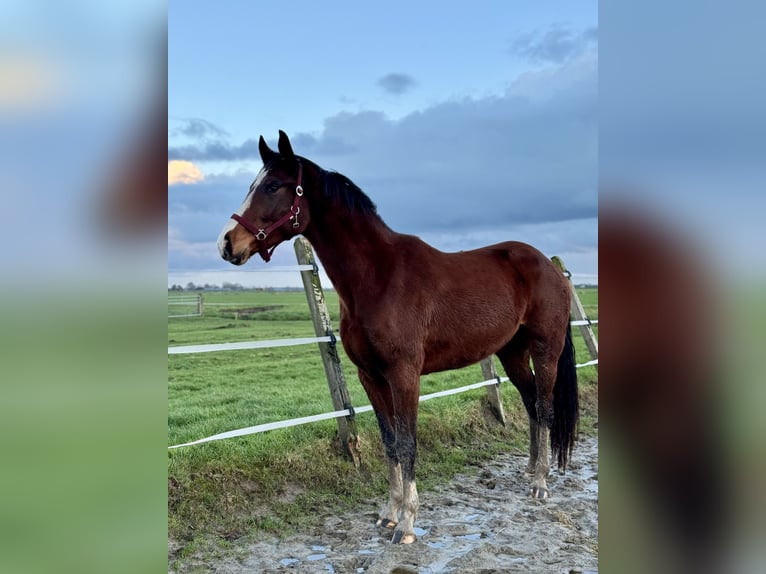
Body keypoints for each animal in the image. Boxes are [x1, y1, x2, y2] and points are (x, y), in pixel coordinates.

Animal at [219, 132, 580, 548]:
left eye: (273, 186)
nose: (228, 244)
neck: (378, 277)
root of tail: (548, 266)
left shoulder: (404, 375)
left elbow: (407, 442)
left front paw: (407, 523)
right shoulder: (371, 377)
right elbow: (389, 441)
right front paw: (388, 513)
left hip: (545, 349)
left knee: (545, 406)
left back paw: (541, 483)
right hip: (512, 352)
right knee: (531, 404)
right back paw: (529, 471)